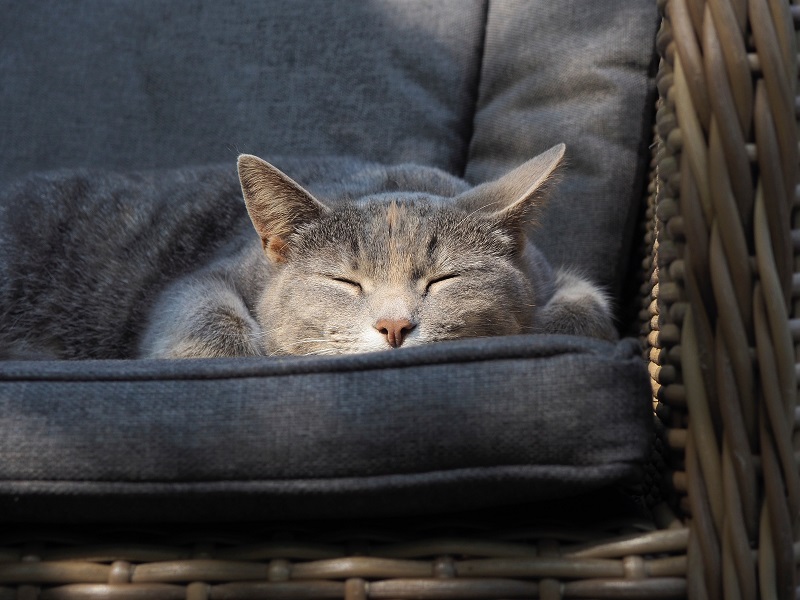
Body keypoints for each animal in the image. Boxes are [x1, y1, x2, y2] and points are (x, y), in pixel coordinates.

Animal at [0, 144, 620, 360]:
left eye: (444, 280)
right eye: (345, 282)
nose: (394, 326)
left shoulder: (562, 282)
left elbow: (585, 309)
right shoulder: (206, 278)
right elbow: (206, 322)